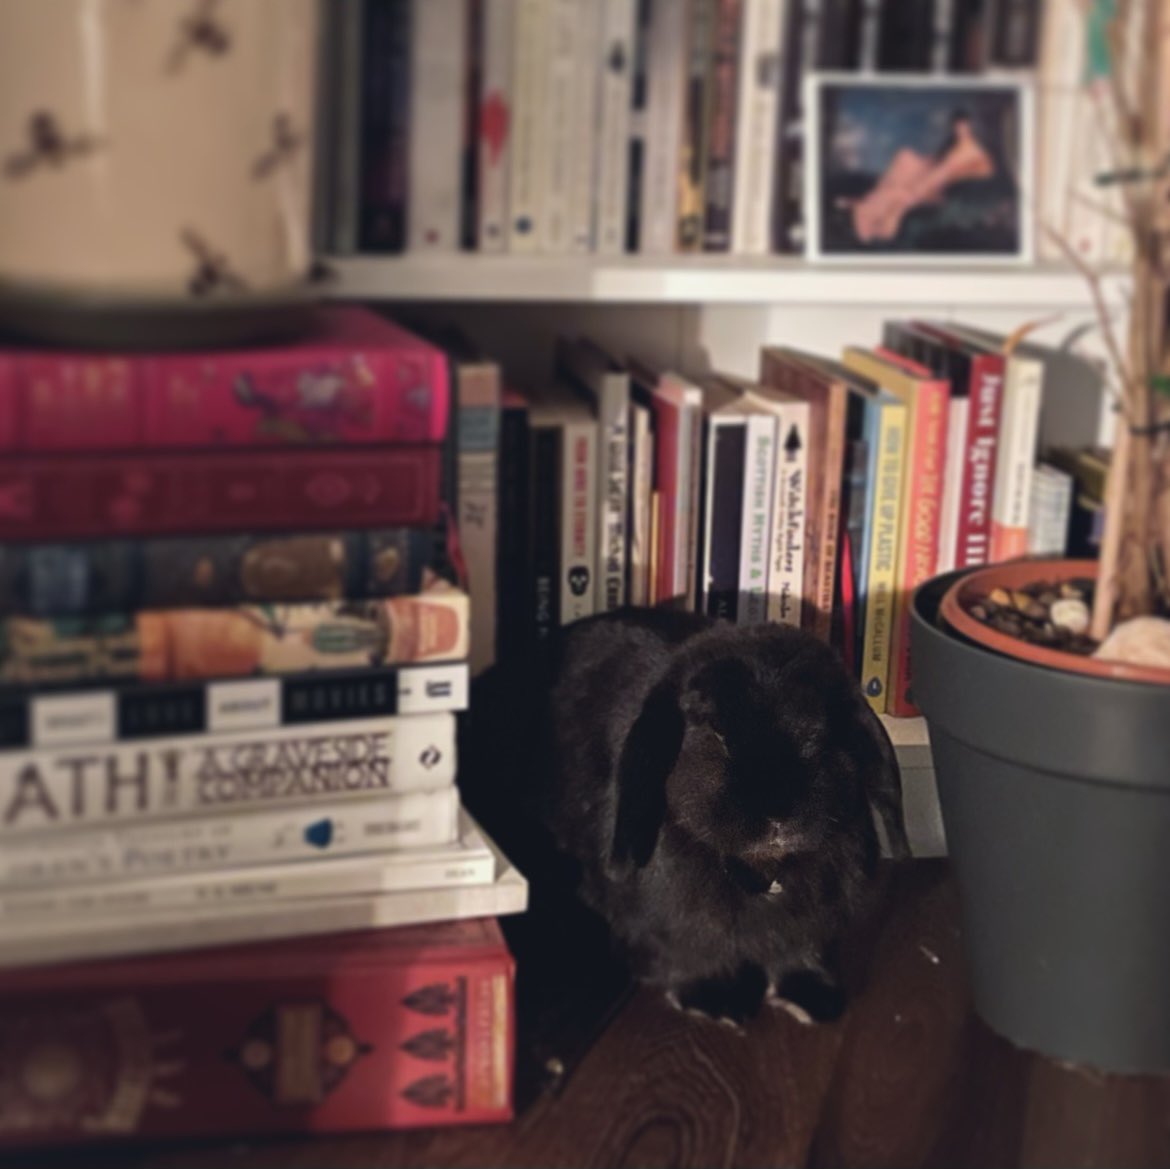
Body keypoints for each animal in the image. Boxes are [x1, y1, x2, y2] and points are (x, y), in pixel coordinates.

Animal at [502, 606, 910, 1026]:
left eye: (820, 733)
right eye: (717, 733)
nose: (777, 811)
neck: (763, 868)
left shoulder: (809, 922)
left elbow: (799, 952)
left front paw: (815, 998)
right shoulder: (670, 927)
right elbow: (688, 956)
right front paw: (719, 1001)